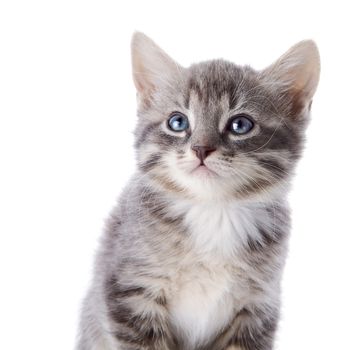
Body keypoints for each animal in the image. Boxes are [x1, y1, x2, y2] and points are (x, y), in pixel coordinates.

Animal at [76, 32, 320, 350]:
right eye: (177, 122)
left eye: (240, 124)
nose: (201, 149)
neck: (214, 211)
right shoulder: (132, 292)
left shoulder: (257, 306)